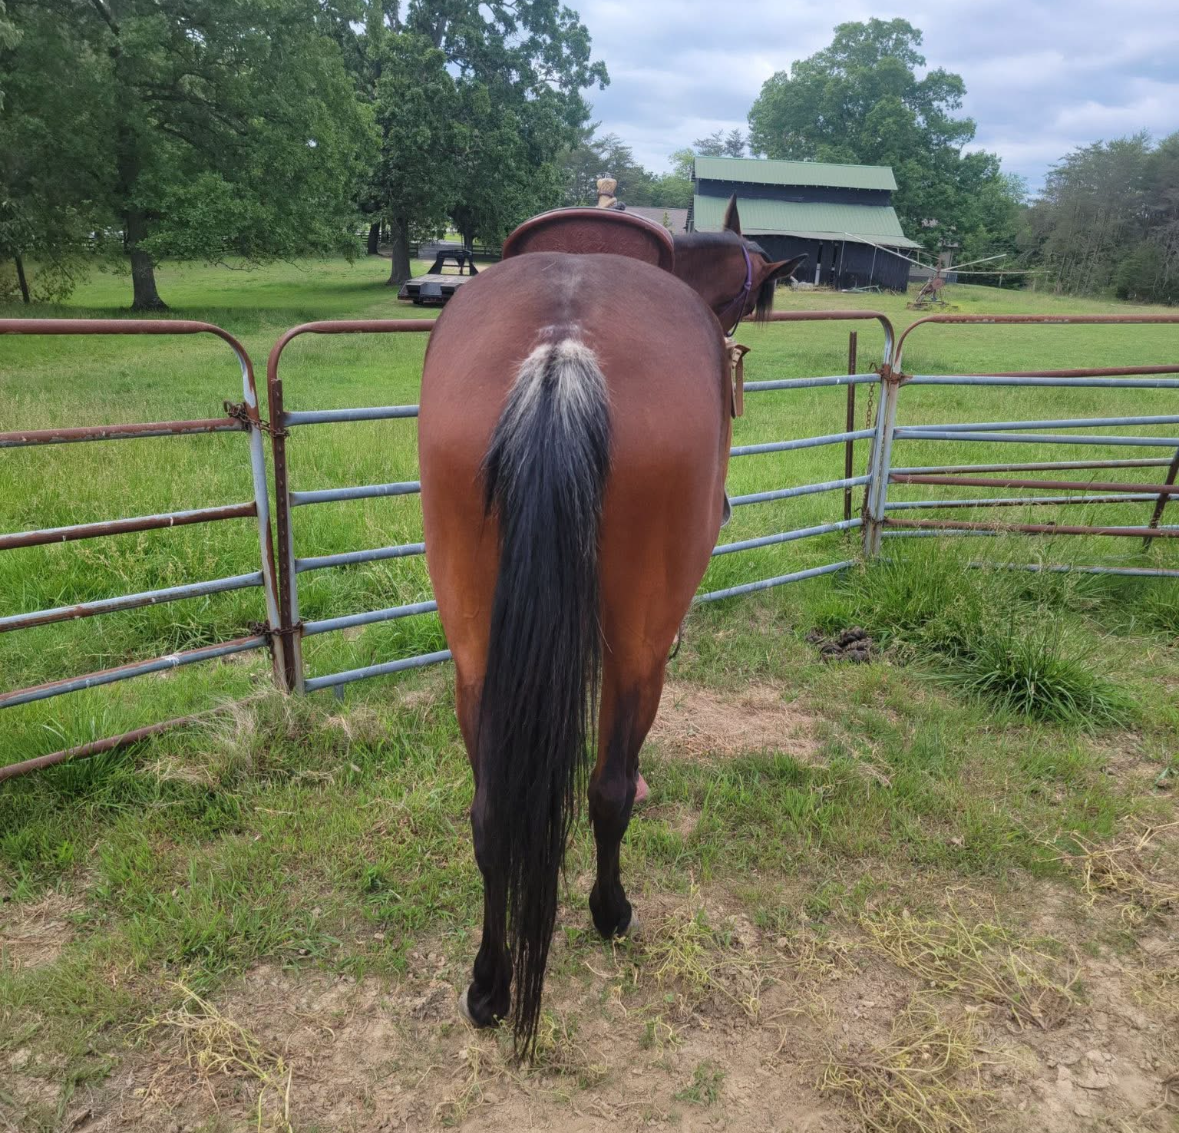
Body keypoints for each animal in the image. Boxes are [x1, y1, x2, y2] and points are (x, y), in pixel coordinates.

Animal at [417, 197, 804, 1056]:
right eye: (743, 295)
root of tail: (562, 347)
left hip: (475, 656)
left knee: (490, 812)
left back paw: (489, 984)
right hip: (638, 648)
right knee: (609, 789)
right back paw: (608, 911)